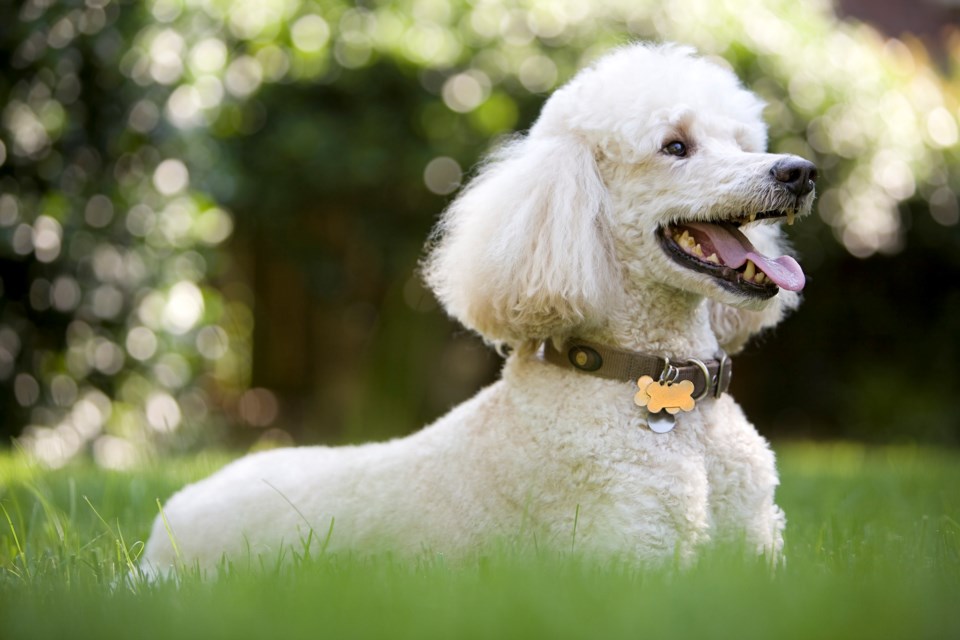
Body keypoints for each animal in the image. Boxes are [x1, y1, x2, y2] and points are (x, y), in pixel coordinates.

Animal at [142, 45, 816, 576]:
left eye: (742, 142)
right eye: (675, 145)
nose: (801, 171)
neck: (655, 384)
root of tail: (163, 522)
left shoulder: (759, 552)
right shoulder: (631, 558)